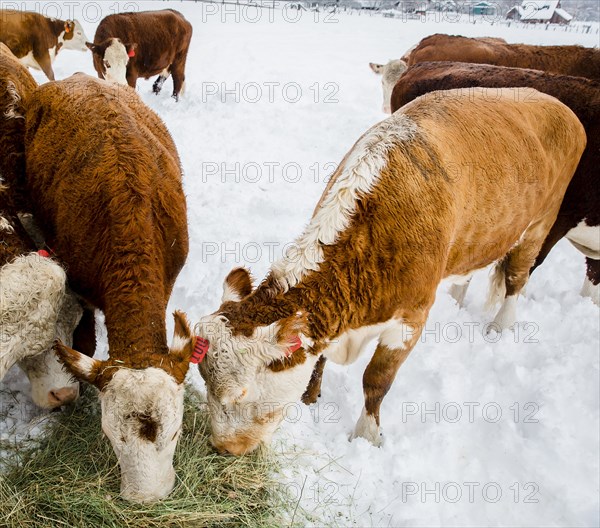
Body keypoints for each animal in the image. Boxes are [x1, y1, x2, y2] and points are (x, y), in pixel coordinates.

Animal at [192, 88, 584, 456]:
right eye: (205, 382)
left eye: (239, 393)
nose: (223, 448)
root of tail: (554, 103)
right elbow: (319, 361)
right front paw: (310, 398)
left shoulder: (412, 317)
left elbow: (376, 380)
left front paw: (366, 436)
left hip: (540, 224)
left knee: (517, 277)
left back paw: (500, 327)